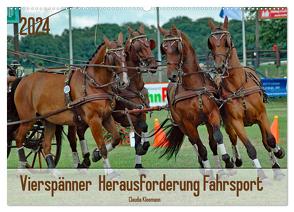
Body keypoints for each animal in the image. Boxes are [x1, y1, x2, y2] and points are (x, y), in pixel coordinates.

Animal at [12, 33, 130, 176]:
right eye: (113, 56)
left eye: (125, 54)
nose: (124, 82)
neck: (92, 84)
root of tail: (23, 80)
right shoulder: (94, 120)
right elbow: (102, 146)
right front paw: (110, 172)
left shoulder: (106, 117)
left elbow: (116, 138)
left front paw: (95, 155)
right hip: (28, 120)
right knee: (19, 138)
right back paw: (22, 167)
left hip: (49, 120)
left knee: (45, 146)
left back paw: (54, 172)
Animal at [65, 24, 157, 169]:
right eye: (137, 47)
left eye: (148, 44)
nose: (153, 65)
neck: (133, 87)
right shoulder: (123, 116)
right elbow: (141, 127)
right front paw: (97, 153)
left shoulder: (141, 112)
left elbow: (143, 128)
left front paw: (139, 158)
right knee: (72, 137)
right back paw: (79, 162)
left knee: (80, 132)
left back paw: (86, 160)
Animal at [158, 25, 234, 171]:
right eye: (163, 48)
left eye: (177, 47)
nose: (172, 75)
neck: (194, 86)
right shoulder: (188, 123)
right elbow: (201, 149)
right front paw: (208, 169)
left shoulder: (213, 114)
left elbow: (217, 137)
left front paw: (227, 161)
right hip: (182, 126)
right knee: (194, 143)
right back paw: (202, 164)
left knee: (212, 143)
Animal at [207, 17, 284, 179]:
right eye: (210, 43)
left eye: (227, 41)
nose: (219, 66)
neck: (238, 86)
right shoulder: (236, 122)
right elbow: (250, 148)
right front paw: (261, 174)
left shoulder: (262, 115)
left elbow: (270, 140)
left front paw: (279, 154)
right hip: (228, 123)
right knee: (233, 139)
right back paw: (236, 160)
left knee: (266, 141)